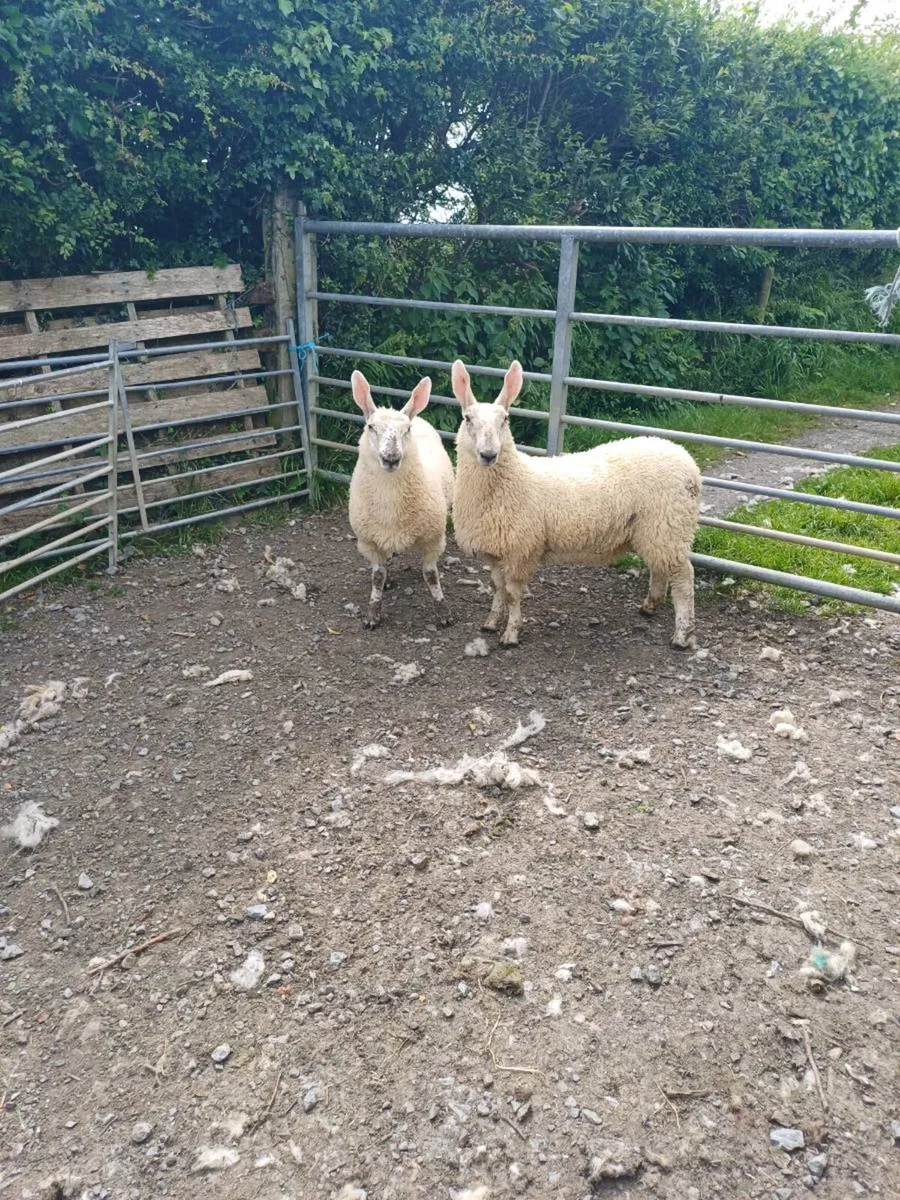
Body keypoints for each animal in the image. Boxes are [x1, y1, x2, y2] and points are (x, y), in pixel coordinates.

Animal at [348, 369, 455, 628]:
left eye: (406, 430)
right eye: (370, 426)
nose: (391, 458)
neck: (391, 505)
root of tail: (419, 416)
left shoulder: (433, 538)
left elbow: (431, 575)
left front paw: (443, 611)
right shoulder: (368, 541)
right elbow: (377, 576)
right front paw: (373, 614)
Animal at [450, 358, 702, 648]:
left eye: (505, 419)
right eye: (467, 418)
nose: (489, 455)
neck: (513, 481)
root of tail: (688, 462)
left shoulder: (520, 549)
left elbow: (512, 594)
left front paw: (511, 633)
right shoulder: (496, 550)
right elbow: (498, 588)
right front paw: (491, 622)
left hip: (669, 525)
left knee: (683, 579)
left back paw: (682, 634)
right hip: (655, 530)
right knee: (660, 568)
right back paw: (649, 606)